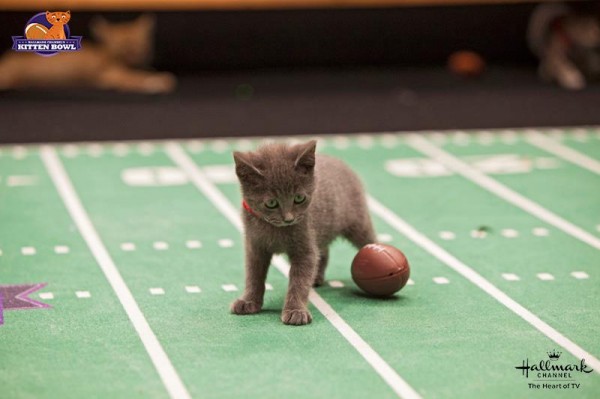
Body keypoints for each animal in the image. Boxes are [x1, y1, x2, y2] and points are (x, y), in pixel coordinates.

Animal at [231, 140, 376, 324]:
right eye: (271, 203)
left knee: (369, 239)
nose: (289, 219)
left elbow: (299, 281)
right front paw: (248, 301)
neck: (276, 230)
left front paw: (295, 311)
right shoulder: (255, 247)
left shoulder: (304, 248)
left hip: (358, 224)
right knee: (323, 252)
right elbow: (253, 275)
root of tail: (339, 162)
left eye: (299, 198)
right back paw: (317, 277)